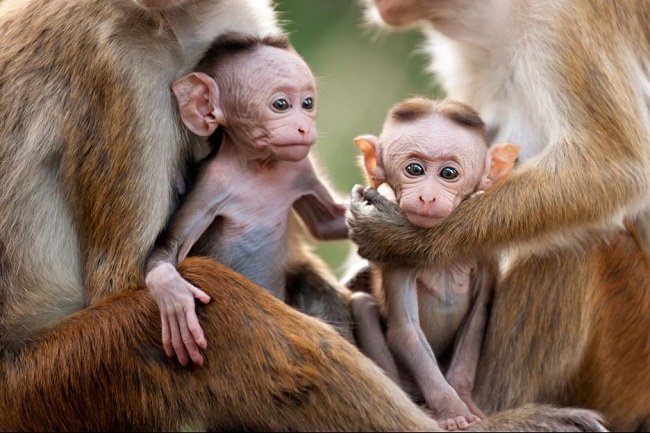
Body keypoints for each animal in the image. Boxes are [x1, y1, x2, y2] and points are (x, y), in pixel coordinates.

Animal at [145, 33, 352, 367]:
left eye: (307, 103)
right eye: (281, 105)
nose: (305, 127)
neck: (258, 166)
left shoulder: (300, 168)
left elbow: (328, 224)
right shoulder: (211, 184)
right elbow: (169, 247)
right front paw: (171, 291)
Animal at [350, 97, 519, 430]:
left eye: (449, 173)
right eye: (414, 169)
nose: (427, 197)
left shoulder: (485, 252)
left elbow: (476, 320)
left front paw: (463, 399)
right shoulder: (395, 257)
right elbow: (406, 331)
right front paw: (451, 410)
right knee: (363, 306)